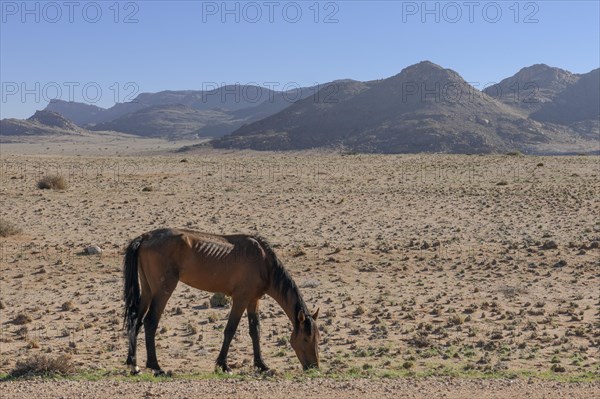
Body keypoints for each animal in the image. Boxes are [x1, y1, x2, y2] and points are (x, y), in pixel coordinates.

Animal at [122, 230, 318, 376]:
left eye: (317, 337)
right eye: (306, 338)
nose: (314, 367)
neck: (263, 261)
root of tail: (145, 237)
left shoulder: (253, 300)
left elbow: (255, 331)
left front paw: (261, 365)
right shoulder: (240, 299)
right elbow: (230, 330)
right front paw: (224, 365)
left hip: (147, 290)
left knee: (136, 321)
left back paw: (134, 365)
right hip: (163, 290)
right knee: (150, 322)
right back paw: (155, 366)